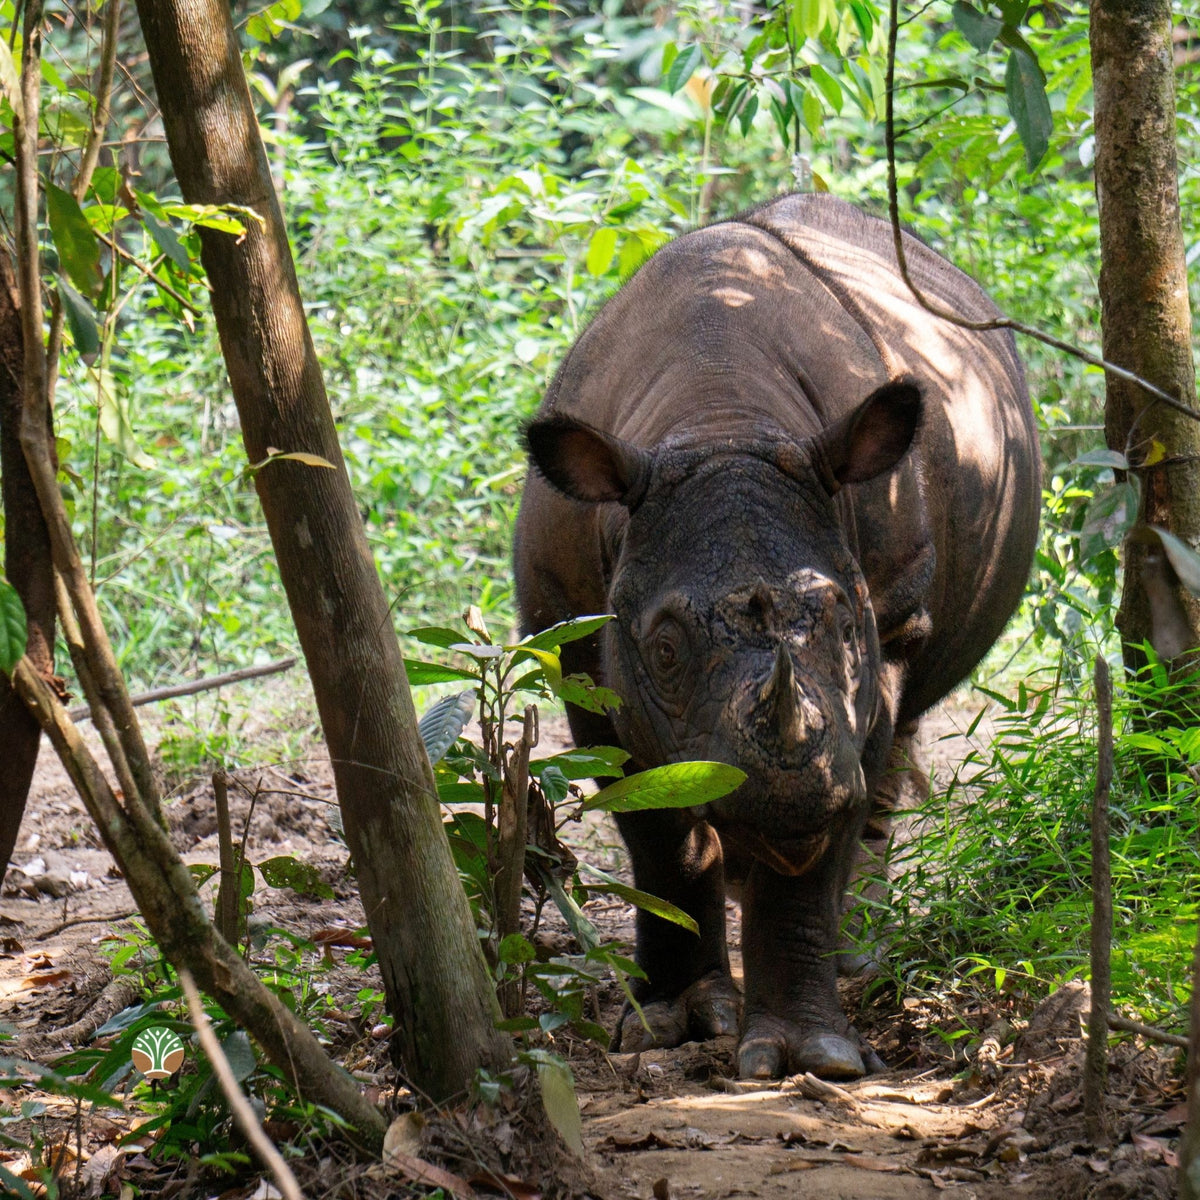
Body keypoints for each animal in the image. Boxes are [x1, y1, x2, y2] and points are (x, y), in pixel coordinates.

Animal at [513, 194, 1040, 1080]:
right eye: (662, 650)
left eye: (849, 626)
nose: (795, 797)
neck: (719, 420)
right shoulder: (574, 639)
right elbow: (656, 828)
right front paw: (674, 1023)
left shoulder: (887, 616)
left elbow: (842, 799)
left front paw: (810, 1054)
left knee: (887, 758)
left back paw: (856, 950)